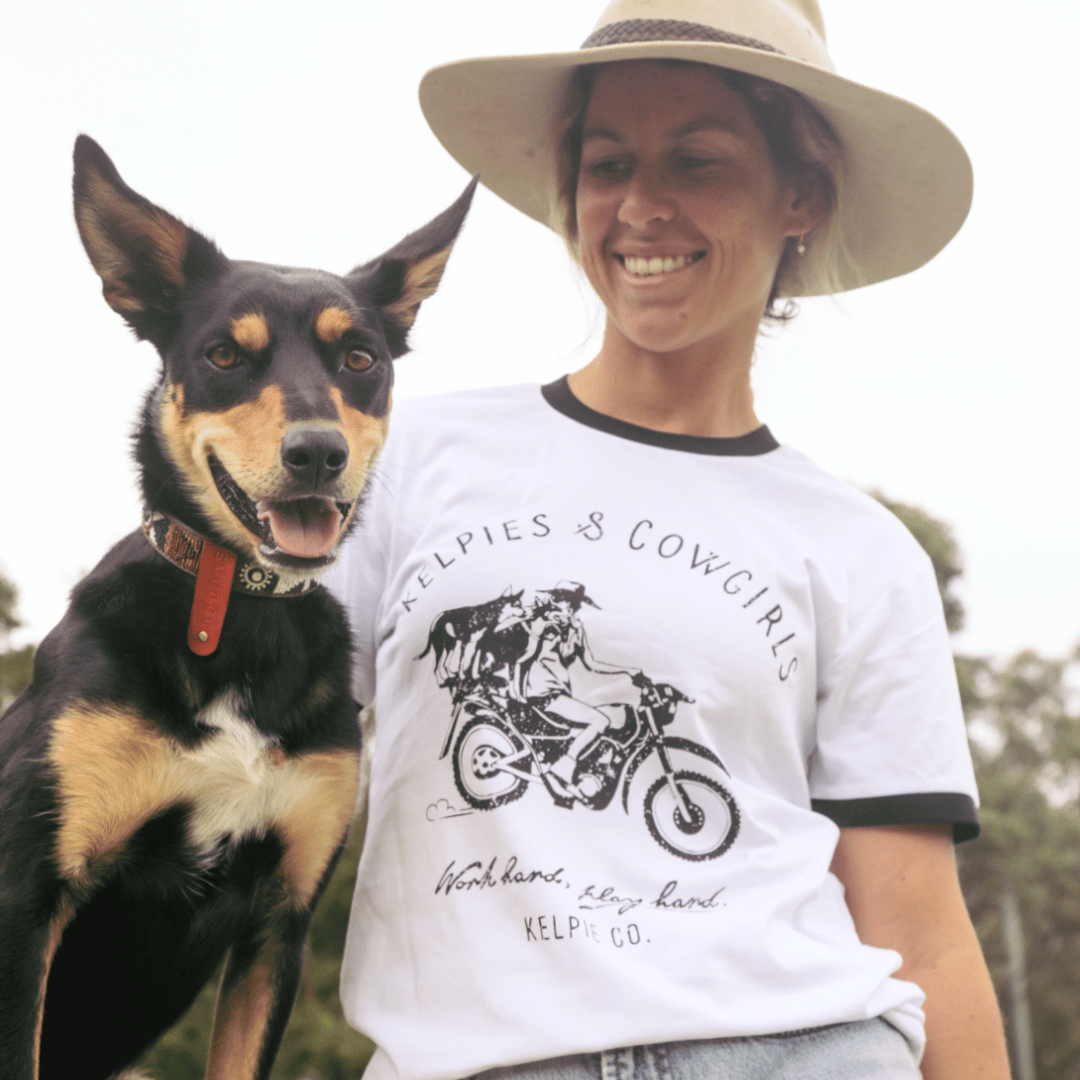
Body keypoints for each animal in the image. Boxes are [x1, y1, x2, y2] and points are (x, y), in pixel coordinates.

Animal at [1, 137, 473, 1080]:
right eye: (224, 356)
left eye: (359, 359)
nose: (317, 453)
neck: (238, 603)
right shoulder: (29, 903)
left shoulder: (276, 926)